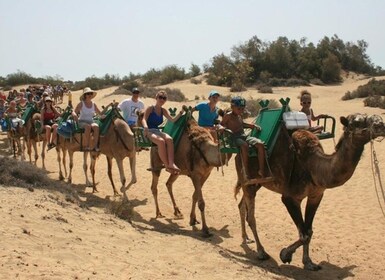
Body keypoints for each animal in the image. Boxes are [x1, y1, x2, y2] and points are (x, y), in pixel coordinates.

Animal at [234, 113, 384, 272]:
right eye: (357, 122)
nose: (381, 125)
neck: (314, 167)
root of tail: (238, 153)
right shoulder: (290, 198)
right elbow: (304, 234)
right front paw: (285, 254)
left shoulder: (316, 195)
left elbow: (309, 230)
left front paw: (309, 262)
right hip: (247, 179)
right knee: (251, 217)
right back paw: (261, 252)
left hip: (255, 183)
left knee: (241, 205)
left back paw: (246, 238)